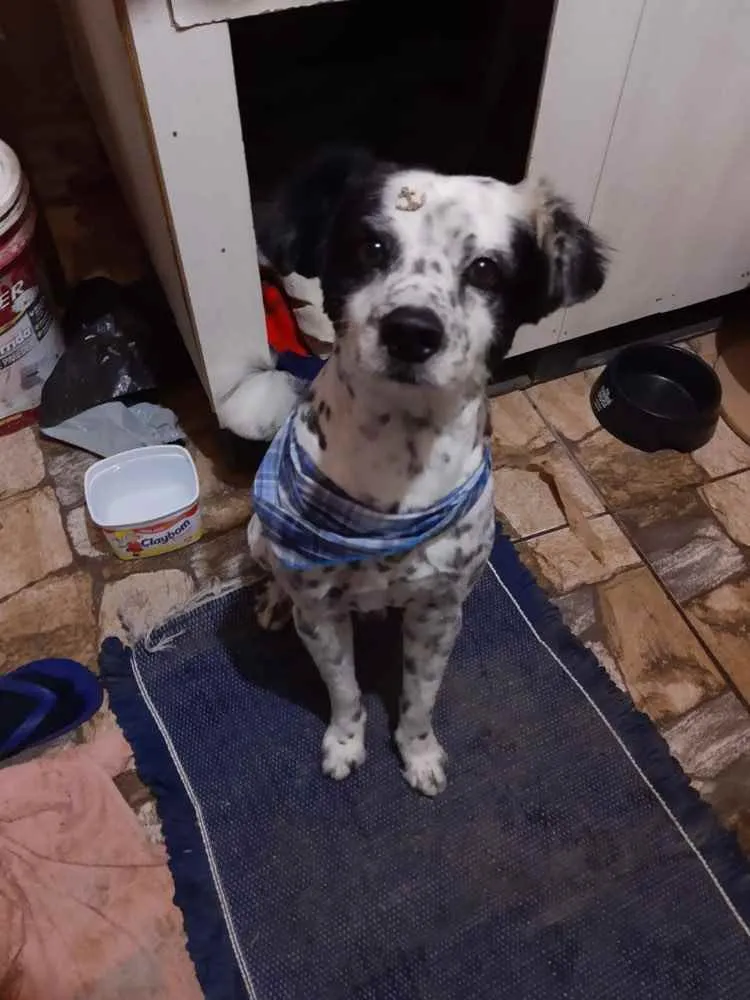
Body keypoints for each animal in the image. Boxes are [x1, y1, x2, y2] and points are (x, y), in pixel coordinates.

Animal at [247, 149, 606, 796]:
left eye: (486, 270)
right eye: (370, 247)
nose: (411, 331)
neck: (397, 463)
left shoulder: (438, 615)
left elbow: (419, 698)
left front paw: (418, 754)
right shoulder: (321, 615)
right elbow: (344, 693)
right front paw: (345, 744)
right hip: (259, 535)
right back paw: (271, 600)